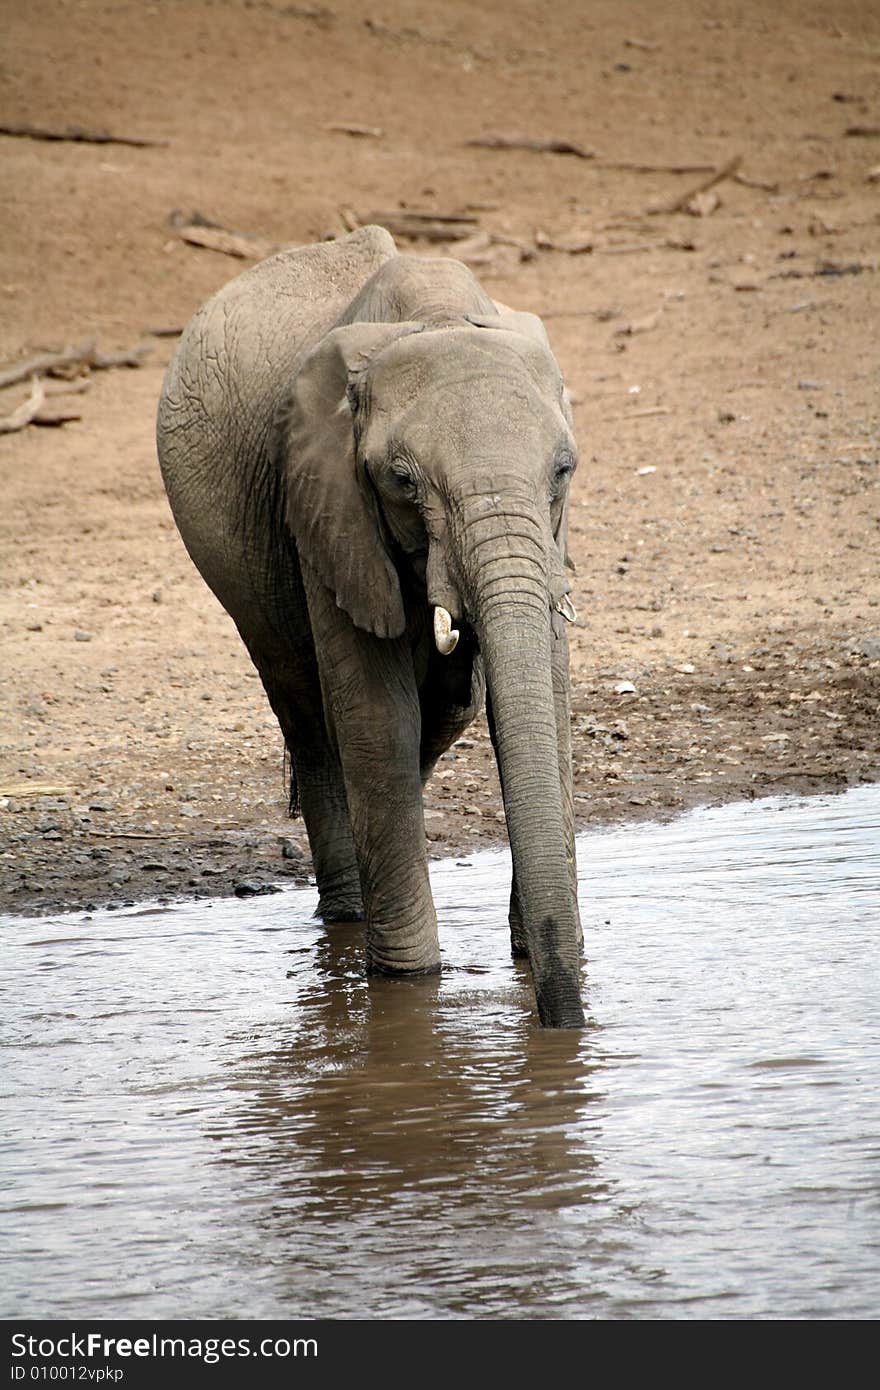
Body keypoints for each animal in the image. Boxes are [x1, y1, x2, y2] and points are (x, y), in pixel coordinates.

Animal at [157, 225, 583, 1034]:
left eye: (563, 471)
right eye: (403, 481)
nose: (561, 1023)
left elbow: (540, 699)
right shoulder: (327, 501)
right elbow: (376, 718)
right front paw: (410, 982)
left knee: (442, 710)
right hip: (237, 564)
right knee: (310, 712)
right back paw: (350, 912)